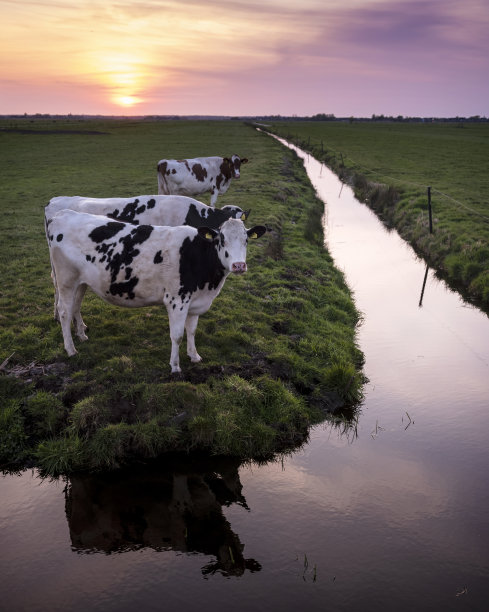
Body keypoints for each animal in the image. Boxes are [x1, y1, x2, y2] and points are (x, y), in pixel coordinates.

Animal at [46, 210, 266, 372]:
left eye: (246, 240)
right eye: (221, 240)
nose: (239, 265)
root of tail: (62, 214)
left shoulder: (195, 302)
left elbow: (191, 330)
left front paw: (194, 355)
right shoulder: (177, 300)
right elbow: (177, 335)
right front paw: (175, 366)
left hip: (81, 282)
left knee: (75, 306)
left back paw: (81, 335)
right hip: (66, 279)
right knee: (64, 312)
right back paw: (70, 349)